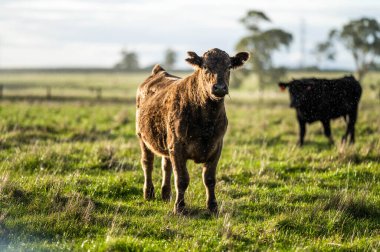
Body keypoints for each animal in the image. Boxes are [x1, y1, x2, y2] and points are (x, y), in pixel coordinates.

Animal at [137, 48, 249, 214]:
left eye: (229, 66)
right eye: (205, 67)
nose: (219, 88)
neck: (206, 121)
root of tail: (160, 72)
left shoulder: (216, 147)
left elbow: (209, 179)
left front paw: (212, 206)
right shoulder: (177, 147)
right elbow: (182, 179)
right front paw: (179, 207)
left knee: (166, 166)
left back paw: (166, 194)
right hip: (143, 138)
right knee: (147, 163)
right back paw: (149, 193)